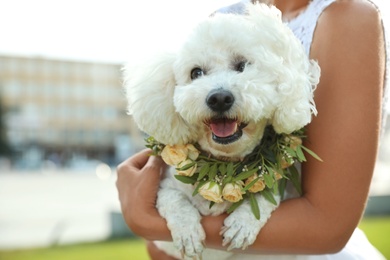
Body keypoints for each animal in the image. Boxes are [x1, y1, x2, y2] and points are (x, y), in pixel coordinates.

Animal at [124, 3, 320, 258]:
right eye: (196, 73)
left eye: (242, 66)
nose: (219, 98)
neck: (224, 164)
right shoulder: (165, 186)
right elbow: (174, 200)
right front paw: (187, 232)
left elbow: (268, 195)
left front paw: (243, 223)